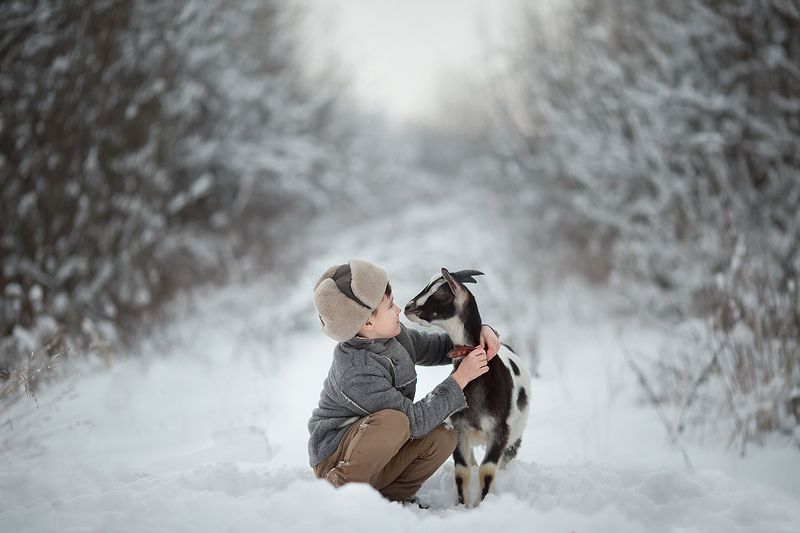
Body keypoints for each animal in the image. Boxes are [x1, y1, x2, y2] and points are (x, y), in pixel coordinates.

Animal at [406, 268, 532, 504]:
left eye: (441, 291)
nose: (409, 307)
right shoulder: (460, 429)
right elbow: (463, 471)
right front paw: (464, 504)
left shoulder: (499, 430)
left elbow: (487, 470)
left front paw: (483, 504)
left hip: (515, 435)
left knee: (506, 458)